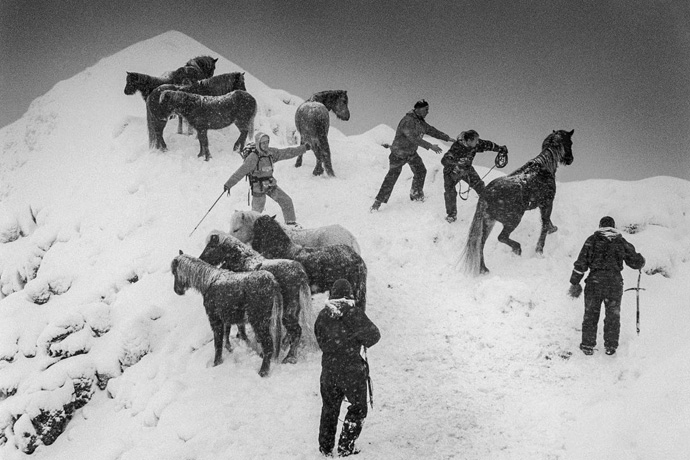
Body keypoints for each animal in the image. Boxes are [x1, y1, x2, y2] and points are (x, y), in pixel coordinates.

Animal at [198, 232, 314, 364]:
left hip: (287, 313)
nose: (201, 258)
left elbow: (241, 326)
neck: (243, 260)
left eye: (211, 246)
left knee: (297, 331)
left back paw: (290, 357)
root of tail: (300, 274)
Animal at [460, 129, 572, 274]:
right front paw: (539, 250)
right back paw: (517, 249)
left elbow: (546, 222)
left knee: (481, 243)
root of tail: (487, 194)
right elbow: (545, 224)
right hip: (513, 220)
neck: (544, 167)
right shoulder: (547, 203)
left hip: (488, 222)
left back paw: (484, 269)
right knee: (501, 237)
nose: (570, 159)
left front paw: (552, 229)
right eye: (570, 142)